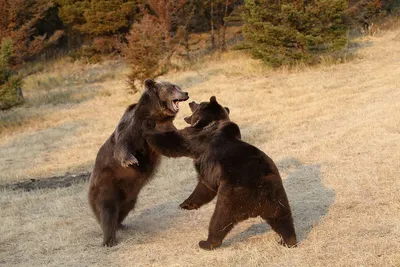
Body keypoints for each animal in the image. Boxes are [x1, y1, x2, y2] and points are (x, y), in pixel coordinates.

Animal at [88, 78, 188, 248]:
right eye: (172, 88)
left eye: (178, 87)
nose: (185, 93)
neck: (155, 116)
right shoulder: (133, 128)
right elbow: (123, 146)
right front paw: (131, 160)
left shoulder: (164, 128)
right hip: (106, 184)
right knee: (107, 209)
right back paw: (109, 239)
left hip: (128, 194)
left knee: (124, 208)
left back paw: (121, 224)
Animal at [145, 97, 296, 251]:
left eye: (200, 104)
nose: (191, 101)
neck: (211, 123)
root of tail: (258, 200)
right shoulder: (210, 173)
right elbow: (203, 189)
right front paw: (185, 204)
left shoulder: (197, 139)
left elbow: (173, 141)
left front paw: (147, 129)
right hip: (276, 198)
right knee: (283, 219)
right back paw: (288, 241)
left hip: (232, 195)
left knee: (219, 220)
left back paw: (206, 243)